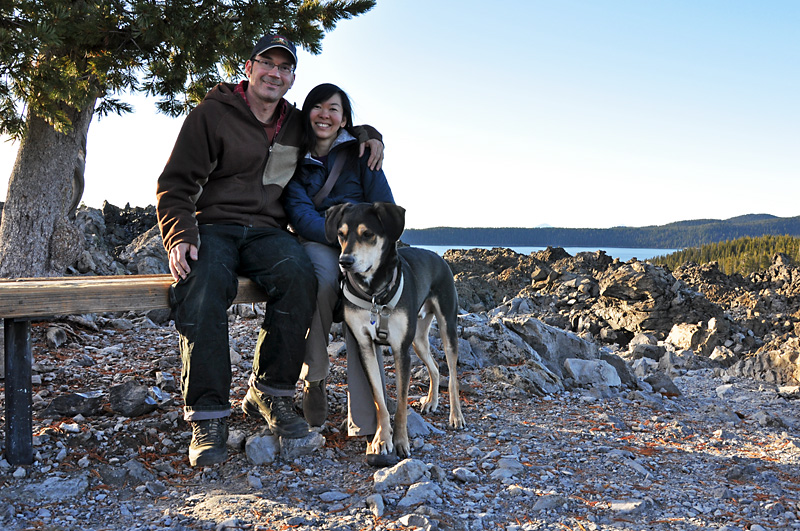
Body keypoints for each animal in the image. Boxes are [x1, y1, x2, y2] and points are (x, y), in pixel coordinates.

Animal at [324, 202, 466, 460]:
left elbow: (400, 405)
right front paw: (381, 439)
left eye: (367, 234)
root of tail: (437, 256)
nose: (344, 261)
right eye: (341, 234)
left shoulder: (401, 350)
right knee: (434, 366)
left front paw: (401, 442)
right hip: (418, 340)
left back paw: (456, 416)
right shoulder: (365, 347)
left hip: (446, 326)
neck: (373, 294)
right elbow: (379, 400)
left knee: (452, 375)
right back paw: (431, 401)